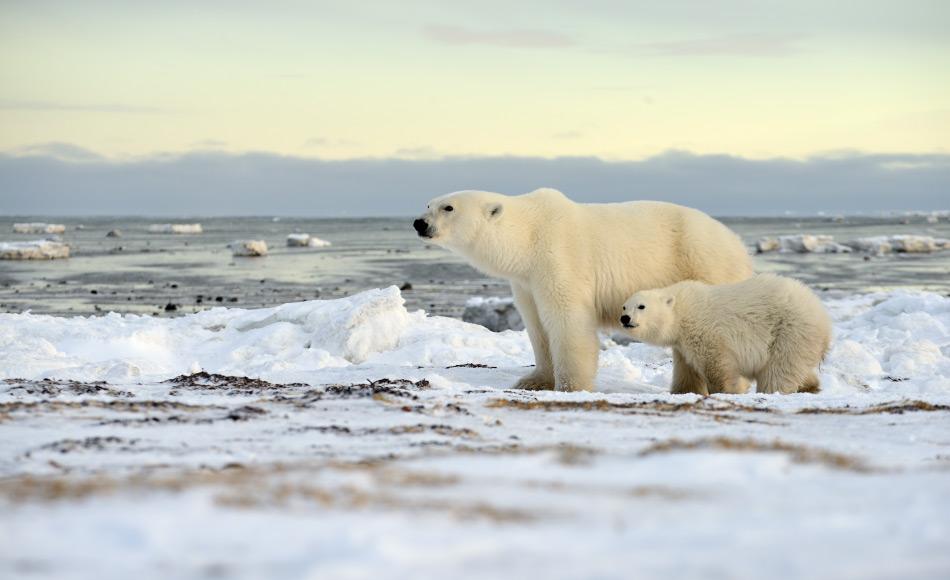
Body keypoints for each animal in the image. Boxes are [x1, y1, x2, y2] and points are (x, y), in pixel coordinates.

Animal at [413, 188, 754, 392]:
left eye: (448, 207)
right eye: (428, 203)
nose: (419, 223)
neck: (529, 235)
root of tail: (738, 244)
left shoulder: (559, 258)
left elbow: (568, 322)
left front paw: (570, 387)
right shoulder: (526, 281)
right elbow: (537, 328)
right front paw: (533, 380)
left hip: (705, 266)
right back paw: (685, 389)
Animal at [619, 274, 832, 395]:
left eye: (641, 306)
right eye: (624, 306)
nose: (625, 318)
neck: (682, 309)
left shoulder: (704, 331)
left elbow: (716, 365)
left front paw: (727, 391)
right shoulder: (681, 344)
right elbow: (687, 370)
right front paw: (682, 391)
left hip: (790, 330)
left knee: (779, 369)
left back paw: (772, 391)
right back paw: (810, 385)